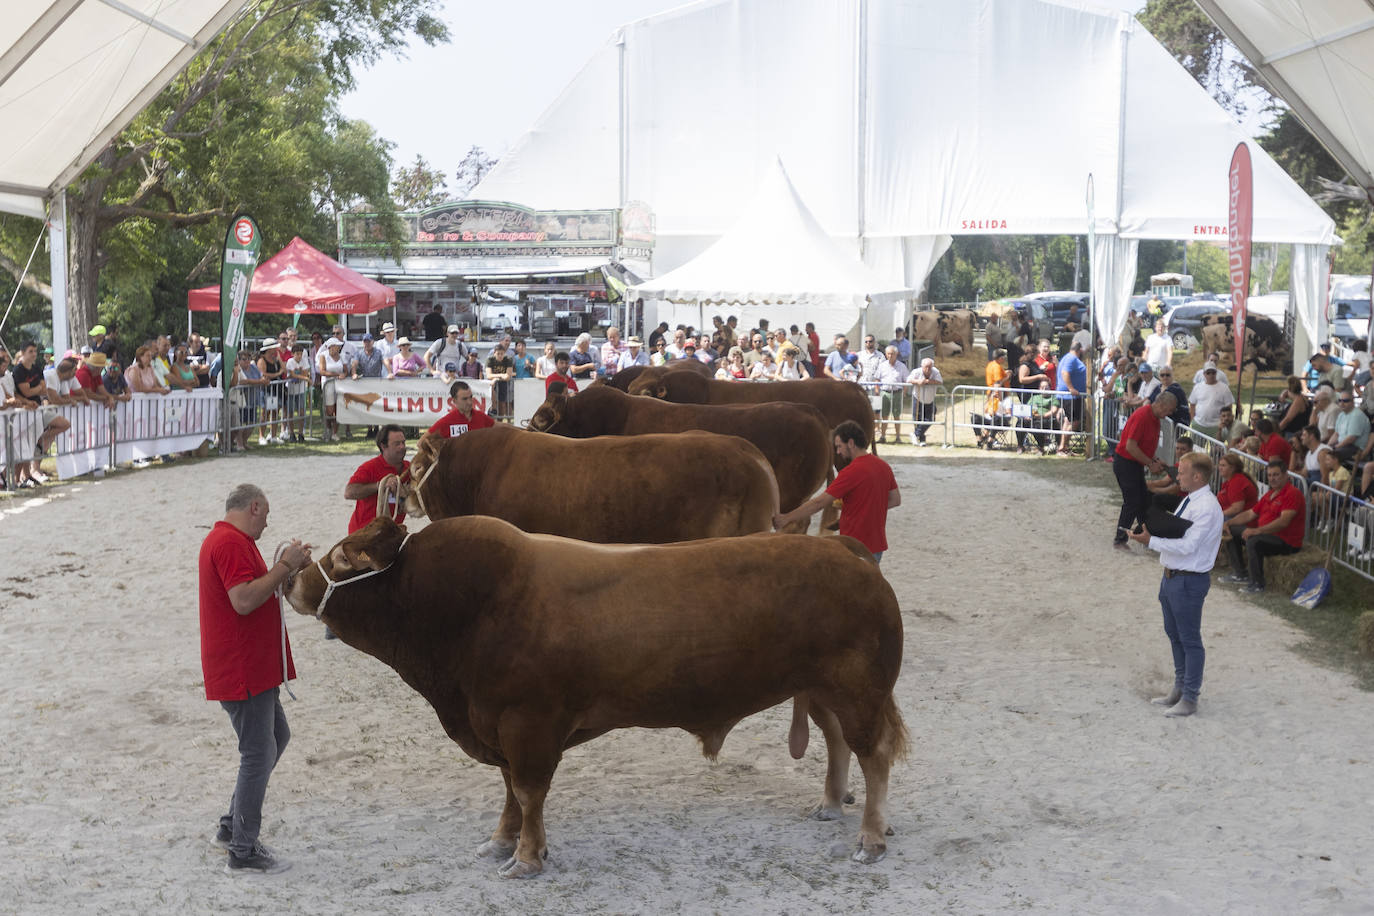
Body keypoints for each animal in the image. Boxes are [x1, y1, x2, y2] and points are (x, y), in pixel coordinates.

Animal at [284, 519, 906, 878]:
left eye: (341, 559)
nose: (292, 579)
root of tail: (843, 549)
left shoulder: (528, 725)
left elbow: (528, 791)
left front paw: (527, 857)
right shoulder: (497, 727)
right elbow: (509, 790)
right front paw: (501, 841)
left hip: (859, 690)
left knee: (874, 756)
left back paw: (871, 838)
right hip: (823, 690)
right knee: (836, 741)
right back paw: (830, 803)